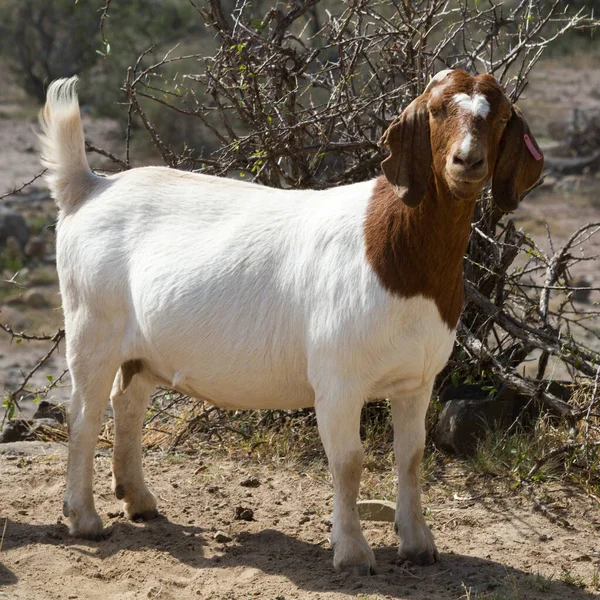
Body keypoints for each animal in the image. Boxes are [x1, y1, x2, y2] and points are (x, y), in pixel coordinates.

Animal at [37, 68, 544, 576]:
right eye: (437, 110)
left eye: (501, 116)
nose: (467, 160)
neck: (397, 255)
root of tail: (89, 187)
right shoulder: (338, 380)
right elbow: (348, 461)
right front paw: (352, 552)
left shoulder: (417, 380)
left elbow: (412, 456)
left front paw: (419, 544)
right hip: (91, 327)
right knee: (83, 415)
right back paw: (84, 518)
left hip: (142, 348)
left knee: (128, 402)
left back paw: (138, 499)